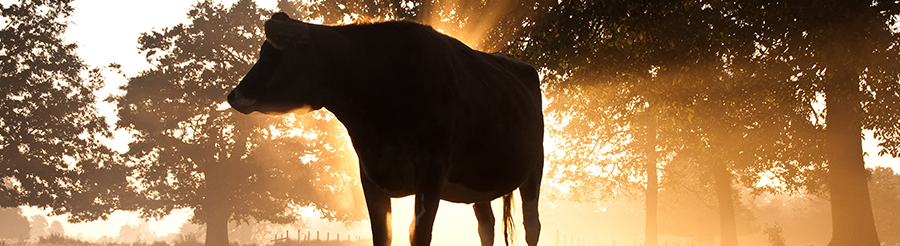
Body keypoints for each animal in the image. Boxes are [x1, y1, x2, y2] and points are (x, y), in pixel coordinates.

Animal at [229, 12, 544, 246]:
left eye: (270, 55)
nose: (233, 95)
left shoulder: (431, 171)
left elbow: (418, 234)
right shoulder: (369, 174)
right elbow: (383, 235)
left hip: (535, 167)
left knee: (532, 225)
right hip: (480, 181)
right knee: (486, 226)